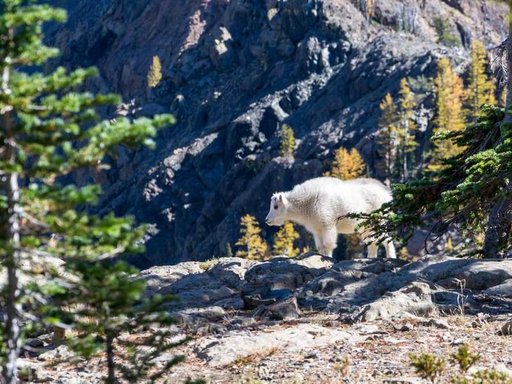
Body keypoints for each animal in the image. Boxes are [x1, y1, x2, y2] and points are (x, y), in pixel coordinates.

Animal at [266, 177, 398, 258]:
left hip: (379, 219)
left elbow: (328, 244)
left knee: (386, 238)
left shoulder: (328, 223)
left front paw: (328, 258)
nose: (267, 220)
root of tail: (388, 194)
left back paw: (391, 257)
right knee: (372, 241)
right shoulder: (317, 228)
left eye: (276, 206)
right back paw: (370, 258)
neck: (307, 203)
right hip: (366, 225)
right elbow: (320, 246)